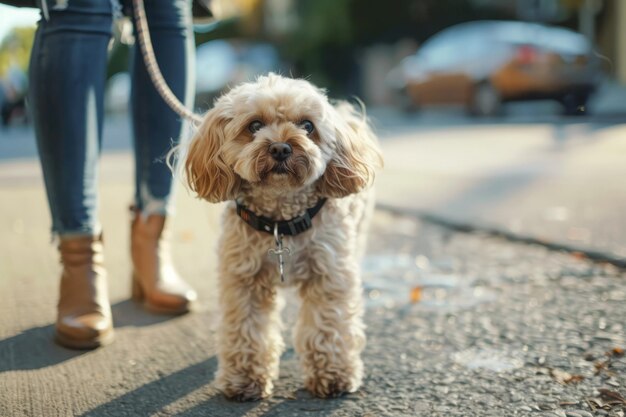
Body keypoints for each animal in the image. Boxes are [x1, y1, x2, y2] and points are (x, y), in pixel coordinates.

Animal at [183, 73, 380, 398]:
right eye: (254, 126)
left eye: (308, 126)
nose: (280, 148)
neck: (281, 222)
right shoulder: (243, 278)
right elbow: (246, 329)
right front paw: (244, 378)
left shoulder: (330, 273)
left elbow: (328, 325)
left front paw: (333, 375)